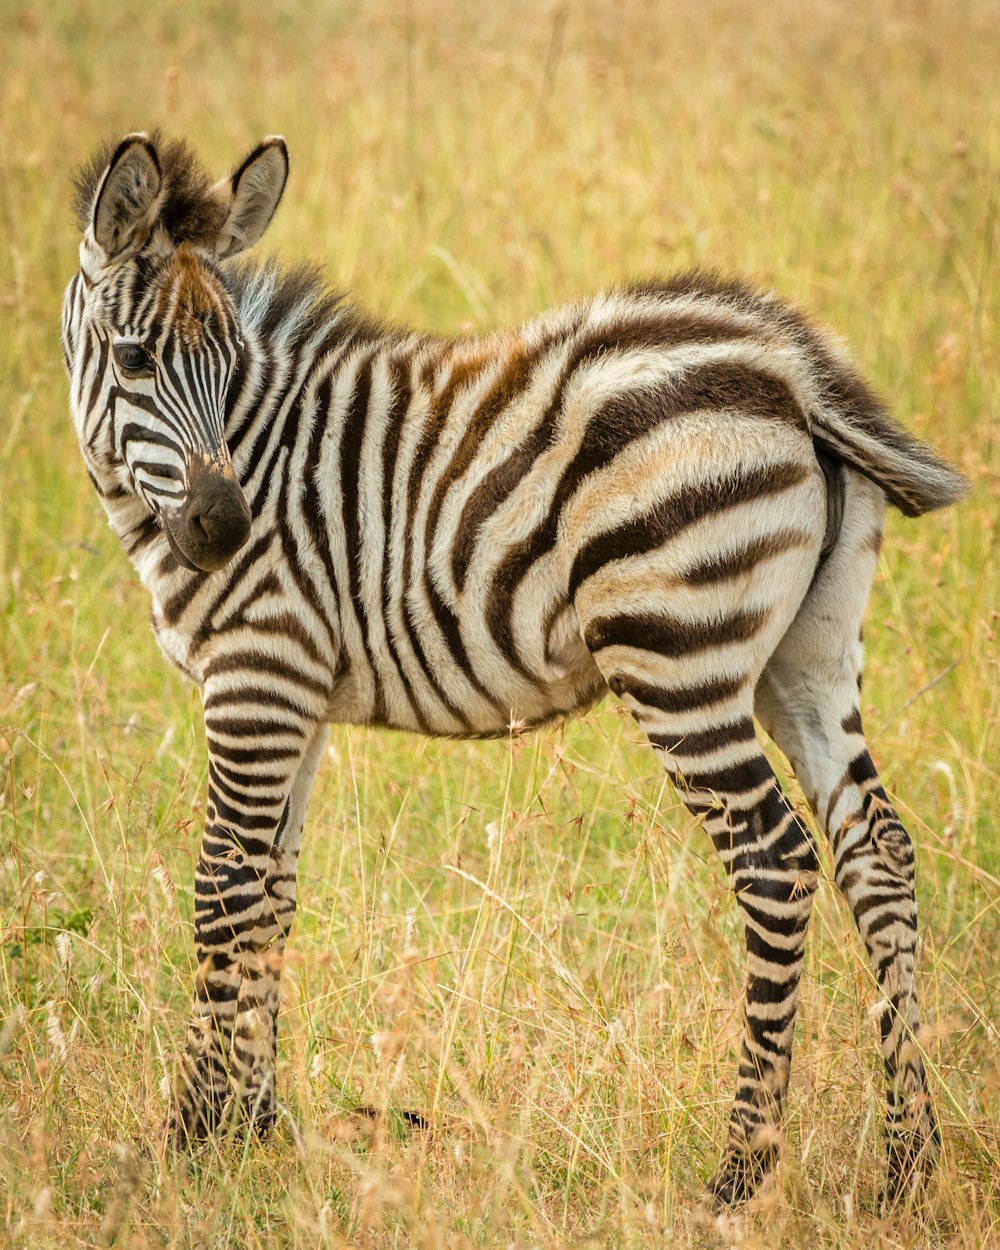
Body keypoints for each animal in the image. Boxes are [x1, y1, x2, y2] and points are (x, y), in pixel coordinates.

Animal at [62, 131, 970, 1205]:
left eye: (230, 363)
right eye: (135, 359)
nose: (225, 530)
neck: (257, 449)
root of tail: (789, 366)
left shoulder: (257, 675)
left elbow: (222, 894)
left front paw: (194, 1140)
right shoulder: (296, 700)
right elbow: (272, 898)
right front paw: (254, 1129)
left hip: (678, 653)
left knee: (776, 862)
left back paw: (739, 1171)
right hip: (810, 656)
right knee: (878, 852)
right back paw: (909, 1162)